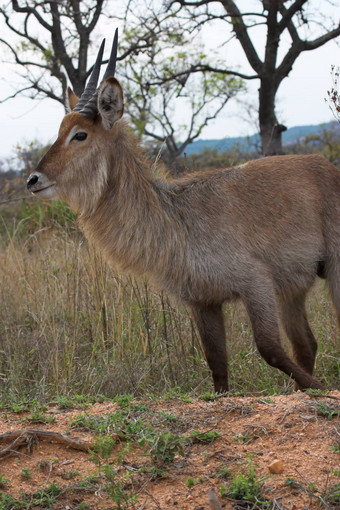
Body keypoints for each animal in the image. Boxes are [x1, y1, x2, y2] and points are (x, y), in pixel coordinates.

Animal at [27, 29, 340, 392]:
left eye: (80, 134)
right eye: (60, 130)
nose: (33, 179)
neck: (176, 216)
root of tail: (327, 167)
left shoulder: (257, 283)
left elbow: (269, 349)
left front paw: (323, 390)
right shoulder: (202, 302)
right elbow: (217, 367)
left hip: (331, 269)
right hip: (293, 288)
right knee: (306, 344)